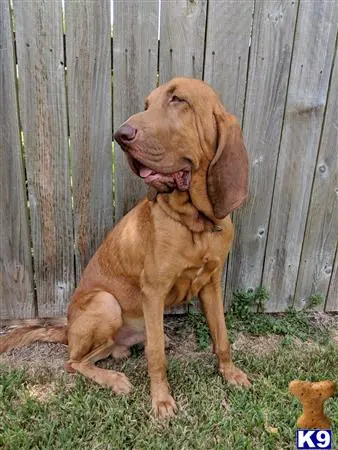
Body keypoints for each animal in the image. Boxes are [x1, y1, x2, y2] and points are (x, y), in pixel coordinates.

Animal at [0, 77, 251, 418]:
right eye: (147, 104)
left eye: (178, 100)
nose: (121, 135)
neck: (195, 223)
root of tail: (67, 330)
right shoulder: (154, 290)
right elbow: (156, 357)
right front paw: (161, 400)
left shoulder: (211, 284)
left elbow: (222, 336)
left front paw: (230, 373)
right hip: (106, 303)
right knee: (74, 362)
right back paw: (114, 379)